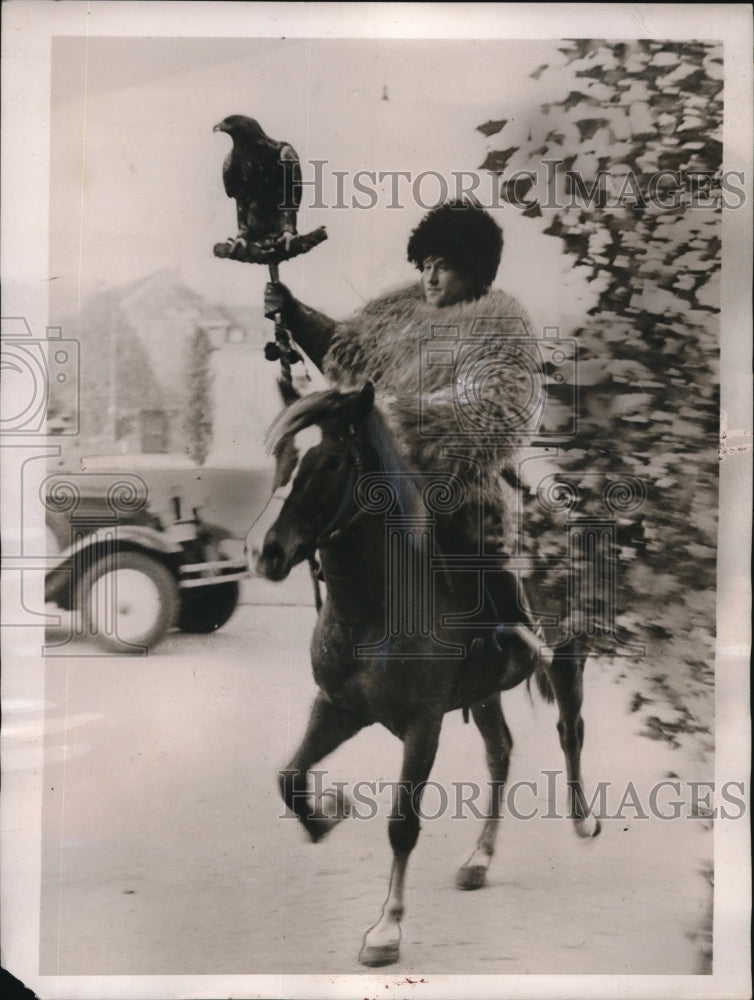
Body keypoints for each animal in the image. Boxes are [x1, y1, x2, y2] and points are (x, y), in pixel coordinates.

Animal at [254, 378, 600, 964]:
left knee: (569, 728)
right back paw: (479, 858)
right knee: (500, 753)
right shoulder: (337, 708)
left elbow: (402, 823)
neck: (376, 608)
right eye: (281, 455)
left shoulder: (423, 724)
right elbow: (290, 778)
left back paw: (581, 819)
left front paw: (386, 928)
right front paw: (329, 814)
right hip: (485, 691)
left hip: (567, 656)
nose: (265, 552)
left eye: (330, 462)